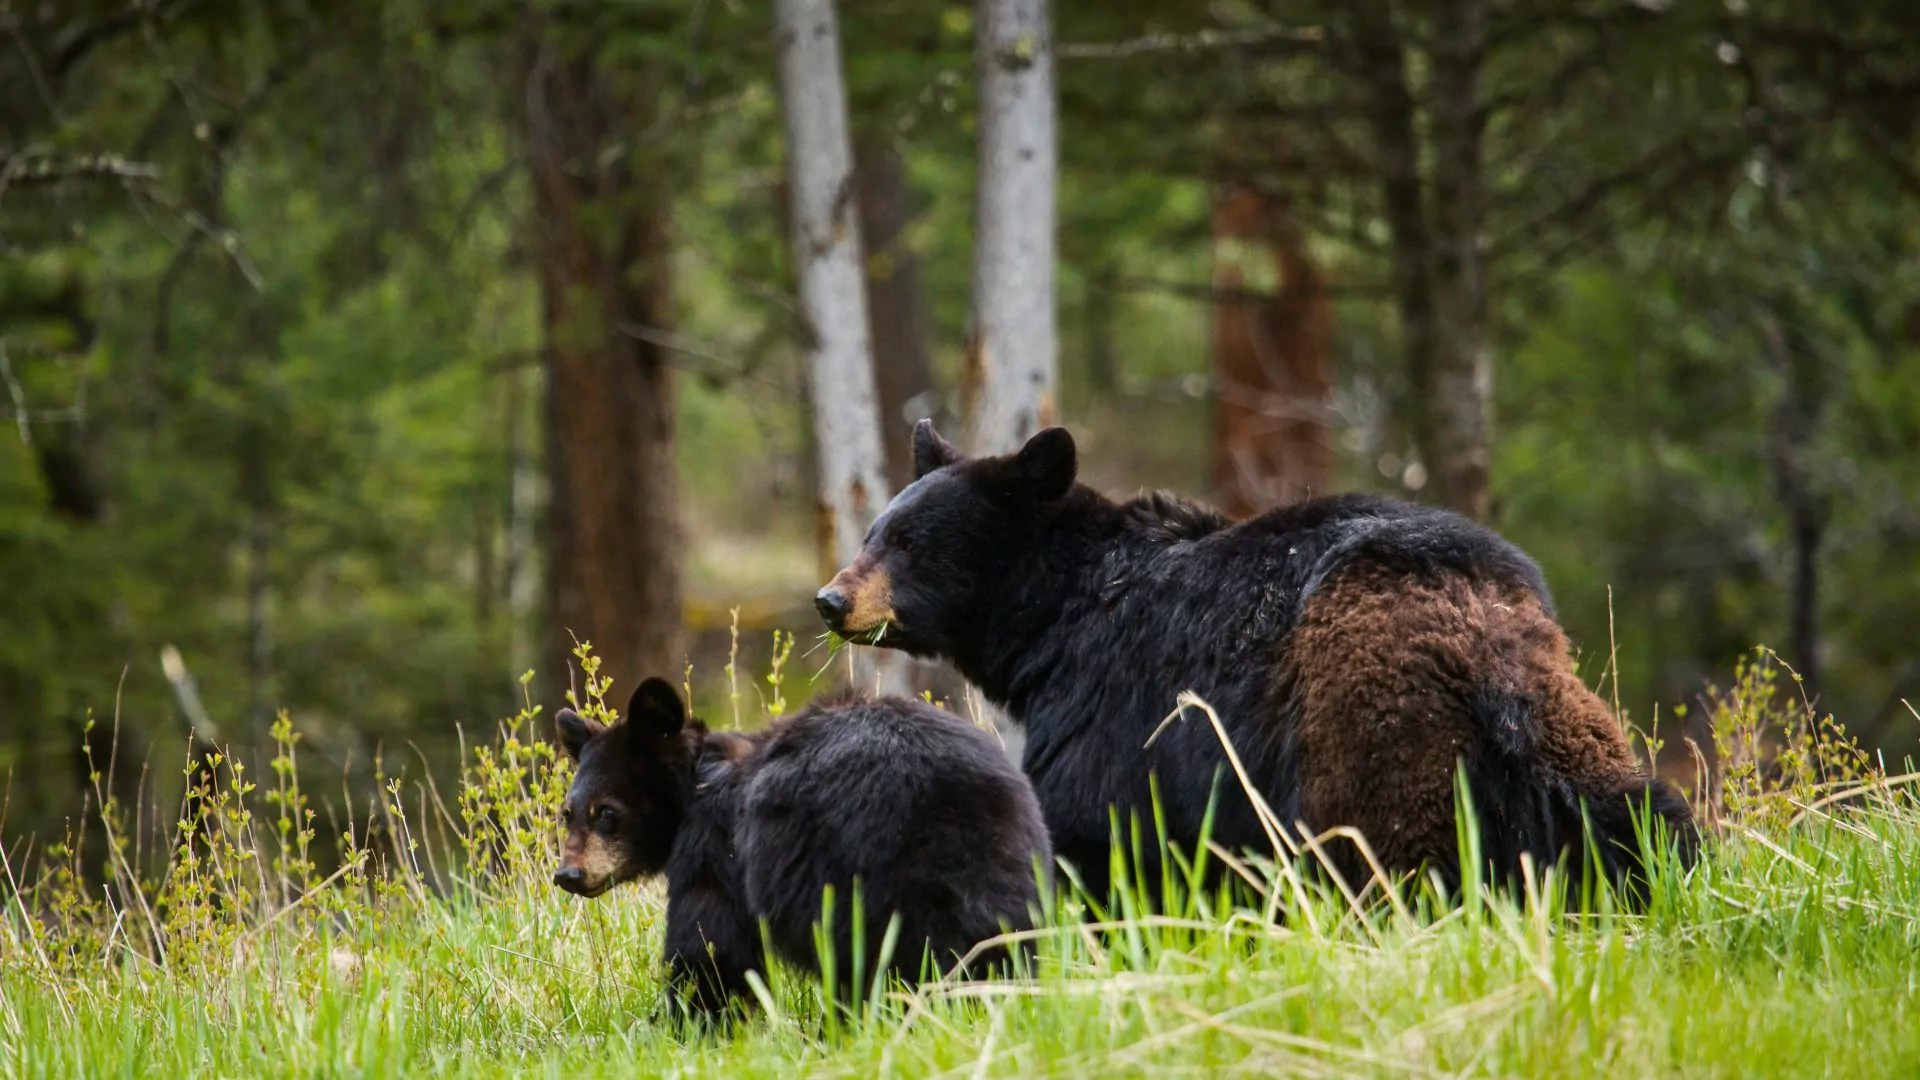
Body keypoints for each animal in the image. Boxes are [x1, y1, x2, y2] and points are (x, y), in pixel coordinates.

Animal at [551, 676, 1052, 1021]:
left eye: (606, 811)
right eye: (567, 813)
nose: (568, 874)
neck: (698, 783)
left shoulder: (716, 850)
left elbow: (710, 946)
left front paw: (684, 1022)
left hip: (857, 870)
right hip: (1011, 866)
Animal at [813, 420, 1699, 906]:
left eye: (911, 543)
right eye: (874, 531)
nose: (830, 600)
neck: (1058, 618)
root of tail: (1482, 638)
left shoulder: (1115, 704)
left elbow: (1093, 830)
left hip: (1371, 729)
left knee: (1387, 852)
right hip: (1563, 726)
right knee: (1636, 814)